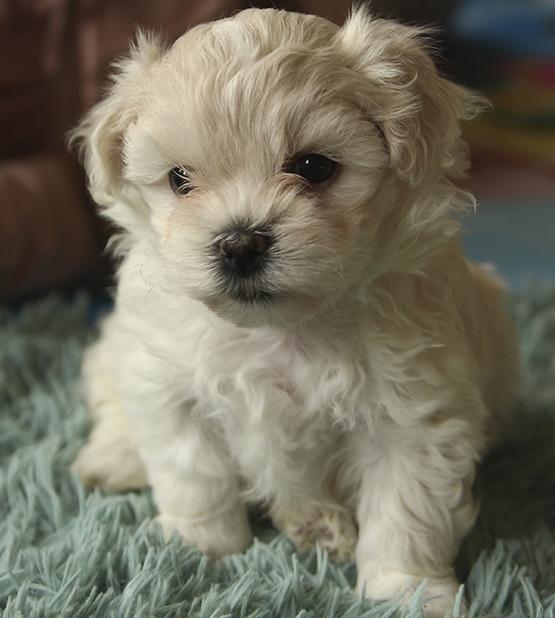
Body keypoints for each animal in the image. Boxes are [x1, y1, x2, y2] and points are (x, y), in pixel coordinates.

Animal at [71, 7, 519, 615]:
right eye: (179, 179)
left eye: (313, 166)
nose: (239, 243)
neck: (281, 329)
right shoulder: (171, 380)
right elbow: (193, 469)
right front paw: (197, 546)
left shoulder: (414, 413)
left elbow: (407, 510)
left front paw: (406, 593)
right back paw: (115, 459)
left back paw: (321, 524)